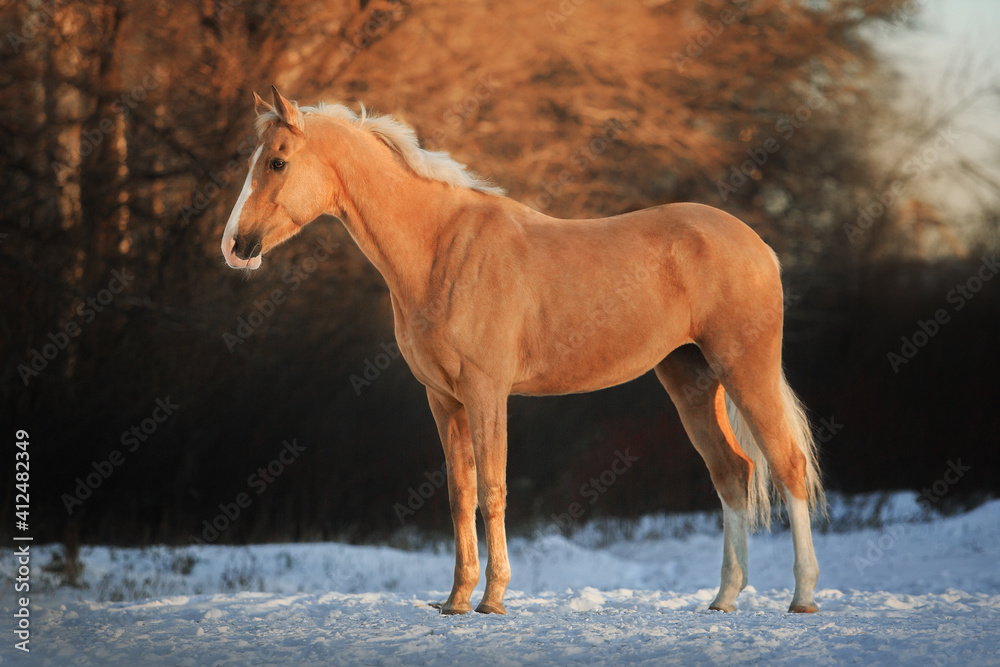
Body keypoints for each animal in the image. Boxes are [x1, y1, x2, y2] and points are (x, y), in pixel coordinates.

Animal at [223, 88, 824, 616]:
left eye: (277, 161)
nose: (234, 246)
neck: (442, 247)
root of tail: (759, 245)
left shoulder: (487, 393)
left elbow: (493, 488)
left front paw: (492, 599)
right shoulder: (443, 399)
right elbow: (460, 492)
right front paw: (456, 601)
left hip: (744, 370)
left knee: (787, 465)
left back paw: (801, 597)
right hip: (692, 381)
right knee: (733, 473)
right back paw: (724, 599)